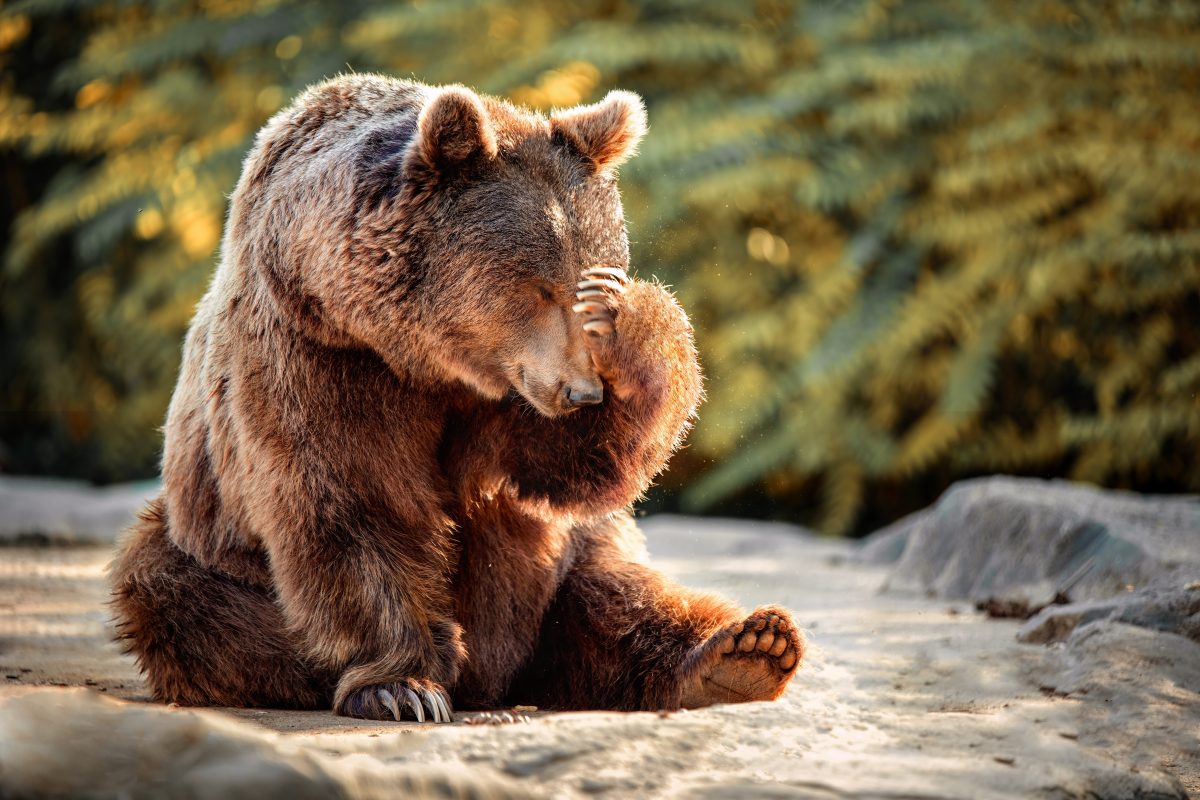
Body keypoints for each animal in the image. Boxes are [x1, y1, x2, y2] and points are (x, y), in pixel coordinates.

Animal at [110, 74, 806, 724]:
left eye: (592, 272)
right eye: (538, 286)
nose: (583, 392)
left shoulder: (504, 395)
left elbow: (568, 467)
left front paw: (624, 318)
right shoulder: (317, 353)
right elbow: (355, 501)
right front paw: (403, 686)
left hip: (576, 563)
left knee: (614, 593)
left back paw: (743, 651)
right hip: (211, 544)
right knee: (174, 593)